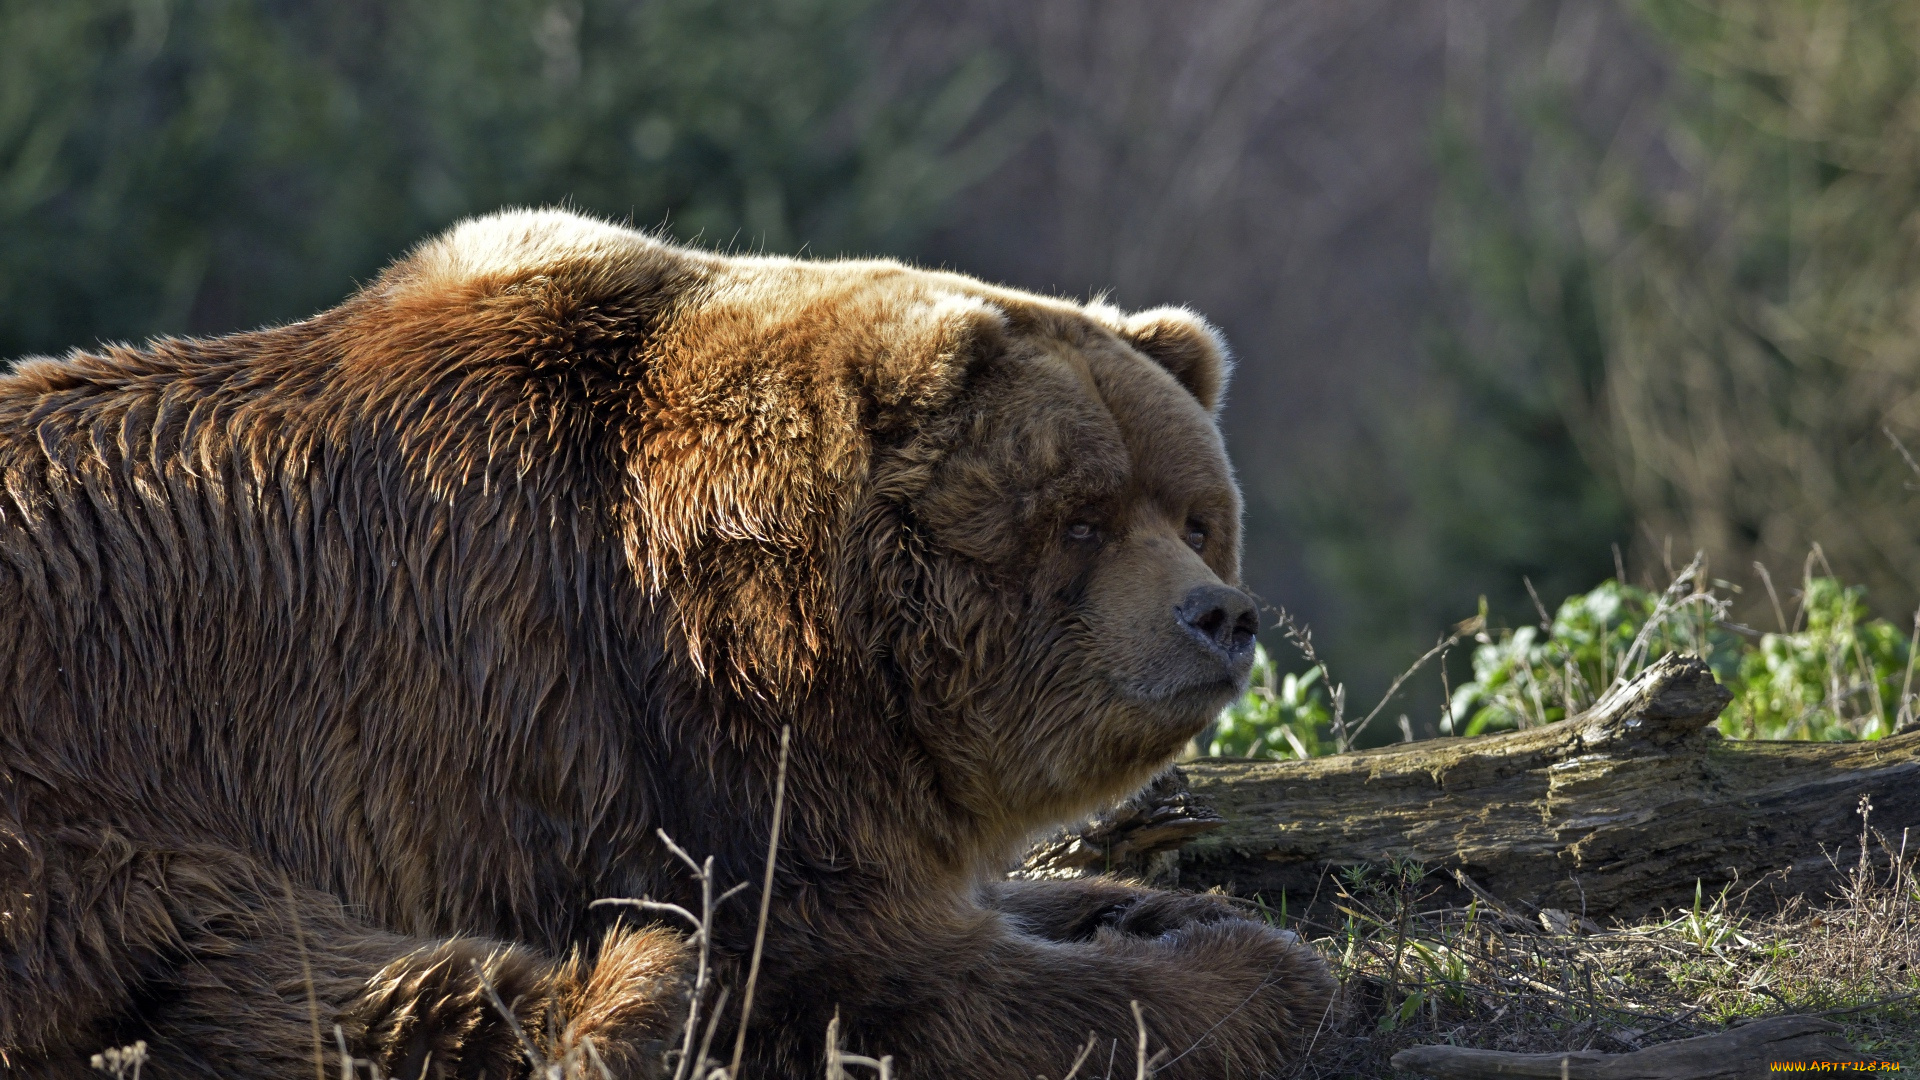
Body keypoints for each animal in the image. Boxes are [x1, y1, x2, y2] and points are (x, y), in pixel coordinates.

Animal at [0, 210, 1336, 1076]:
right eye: (1082, 517)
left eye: (1195, 515)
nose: (1218, 614)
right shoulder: (648, 740)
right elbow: (873, 970)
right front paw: (1250, 972)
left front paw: (1139, 903)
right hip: (87, 778)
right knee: (254, 954)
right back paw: (629, 993)